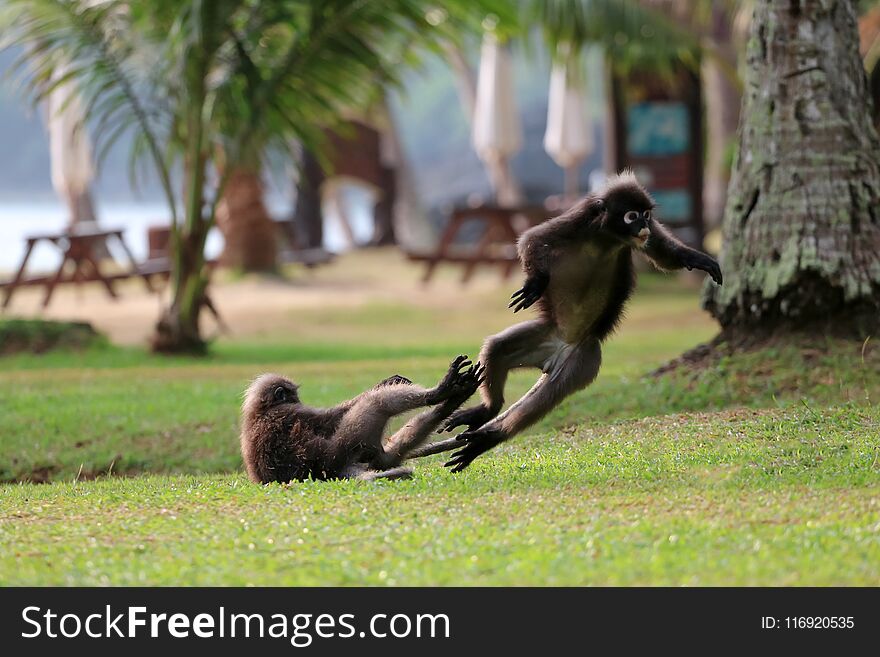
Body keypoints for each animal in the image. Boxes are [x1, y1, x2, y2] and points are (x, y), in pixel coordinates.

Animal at [241, 356, 484, 484]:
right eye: (293, 396)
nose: (298, 398)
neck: (260, 411)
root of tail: (331, 471)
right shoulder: (291, 411)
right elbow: (331, 418)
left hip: (371, 457)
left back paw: (451, 403)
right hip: (343, 450)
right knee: (376, 403)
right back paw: (440, 392)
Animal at [430, 172, 724, 472]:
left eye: (645, 215)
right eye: (631, 216)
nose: (642, 225)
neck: (607, 237)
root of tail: (558, 350)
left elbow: (662, 253)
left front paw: (696, 258)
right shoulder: (581, 219)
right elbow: (532, 239)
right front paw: (536, 282)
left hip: (582, 359)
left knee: (547, 395)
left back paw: (488, 437)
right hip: (544, 337)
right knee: (497, 348)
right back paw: (487, 412)